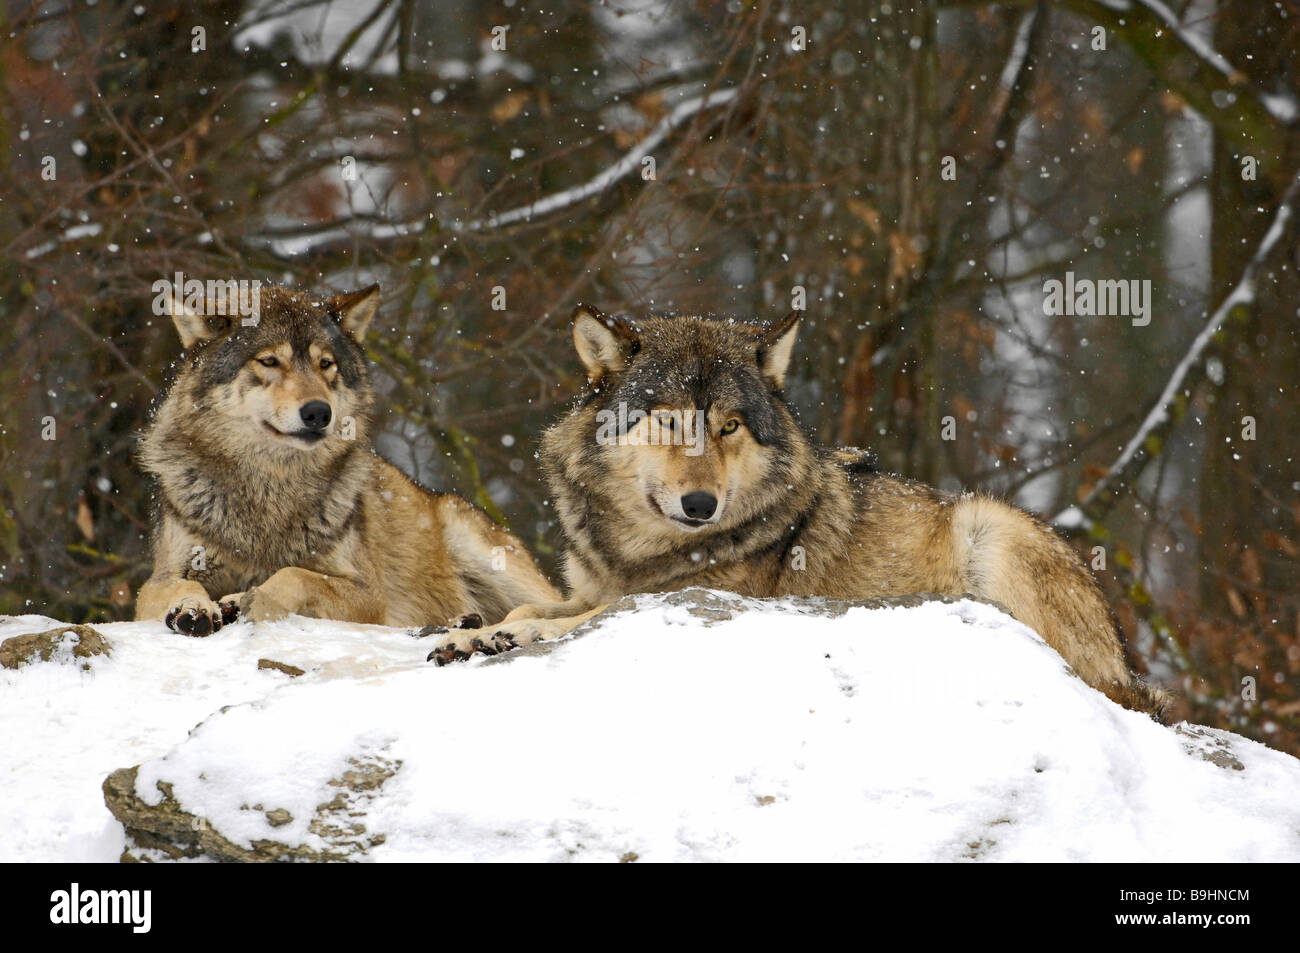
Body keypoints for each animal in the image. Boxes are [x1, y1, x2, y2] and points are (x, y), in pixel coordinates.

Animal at [134, 284, 556, 639]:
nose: (318, 412)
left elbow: (293, 575)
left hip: (477, 545)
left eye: (326, 364)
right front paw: (193, 608)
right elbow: (179, 584)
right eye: (269, 361)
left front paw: (248, 598)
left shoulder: (367, 593)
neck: (270, 488)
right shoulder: (158, 581)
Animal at [426, 302, 1170, 712]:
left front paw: (497, 636)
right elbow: (534, 608)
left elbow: (567, 623)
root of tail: (1130, 666)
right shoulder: (594, 586)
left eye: (729, 425)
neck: (644, 553)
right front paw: (476, 631)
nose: (701, 503)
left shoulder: (671, 599)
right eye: (668, 421)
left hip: (989, 525)